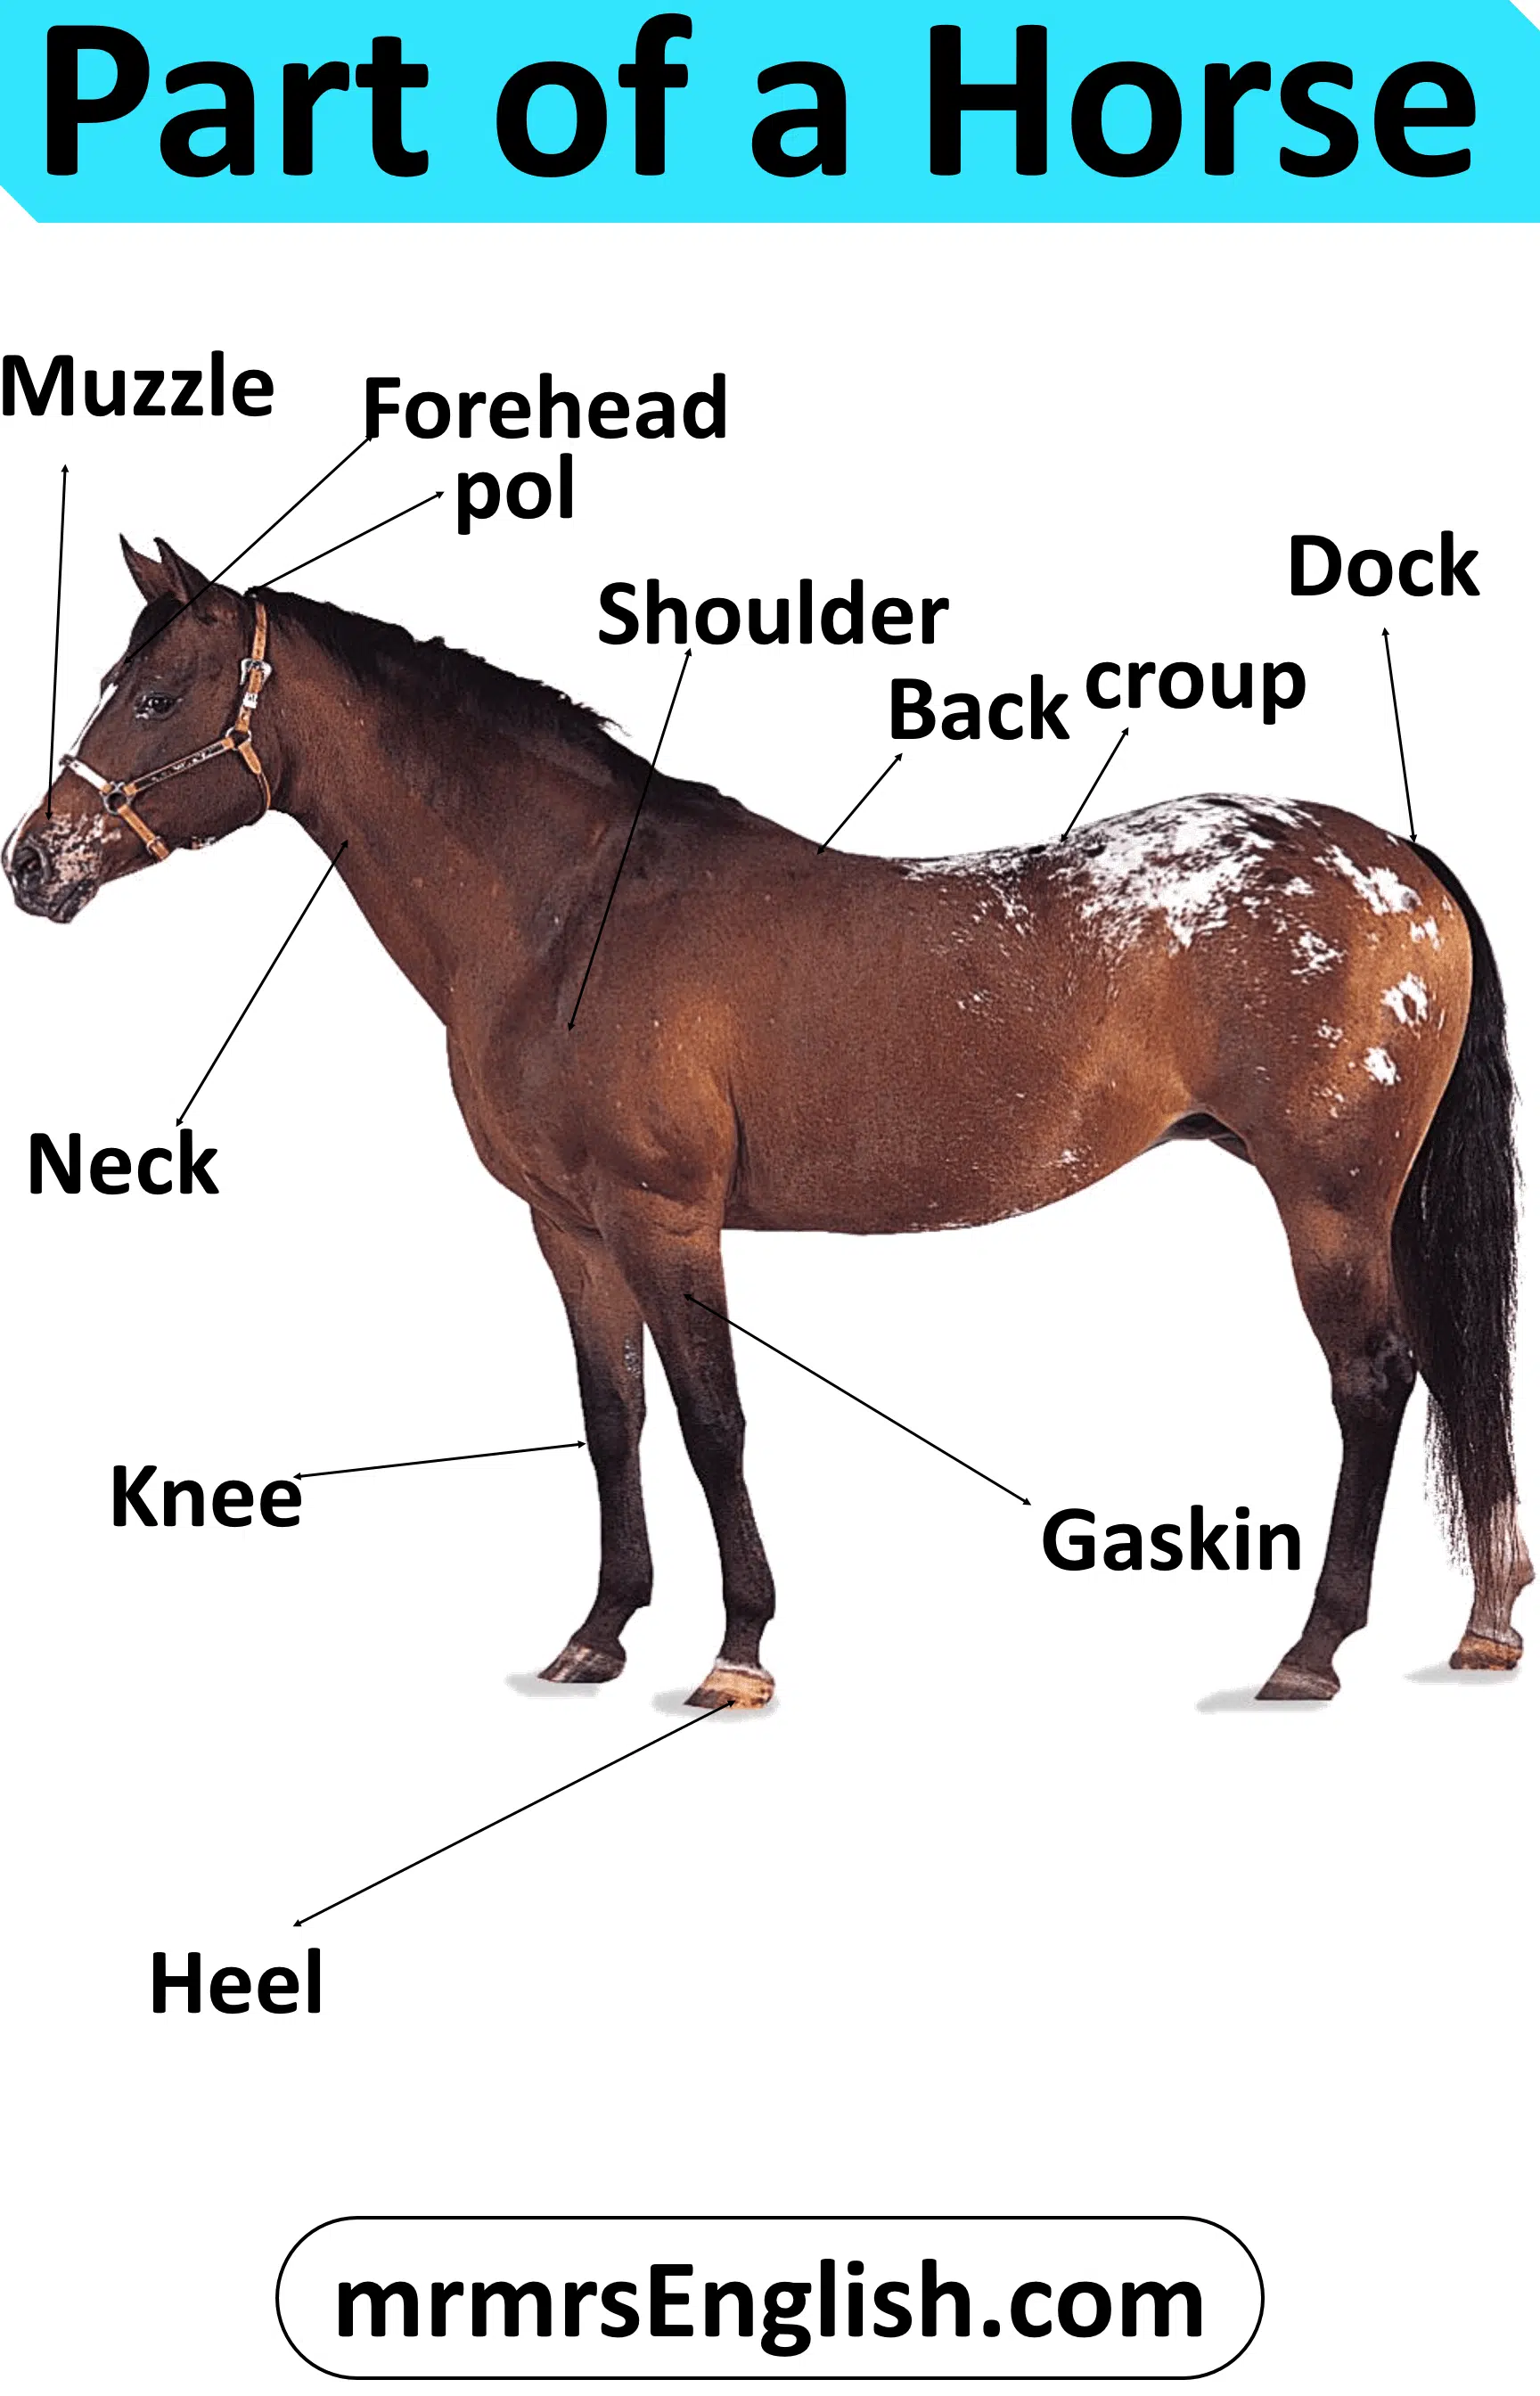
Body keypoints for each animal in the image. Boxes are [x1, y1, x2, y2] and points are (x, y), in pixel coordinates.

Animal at [7, 538, 1528, 1706]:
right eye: (117, 686)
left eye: (157, 695)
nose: (34, 864)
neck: (571, 913)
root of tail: (1396, 861)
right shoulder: (569, 1228)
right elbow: (612, 1418)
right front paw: (598, 1636)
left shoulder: (668, 1214)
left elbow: (711, 1420)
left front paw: (737, 1653)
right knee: (1455, 1370)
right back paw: (1483, 1625)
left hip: (1328, 1197)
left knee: (1377, 1381)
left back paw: (1312, 1653)